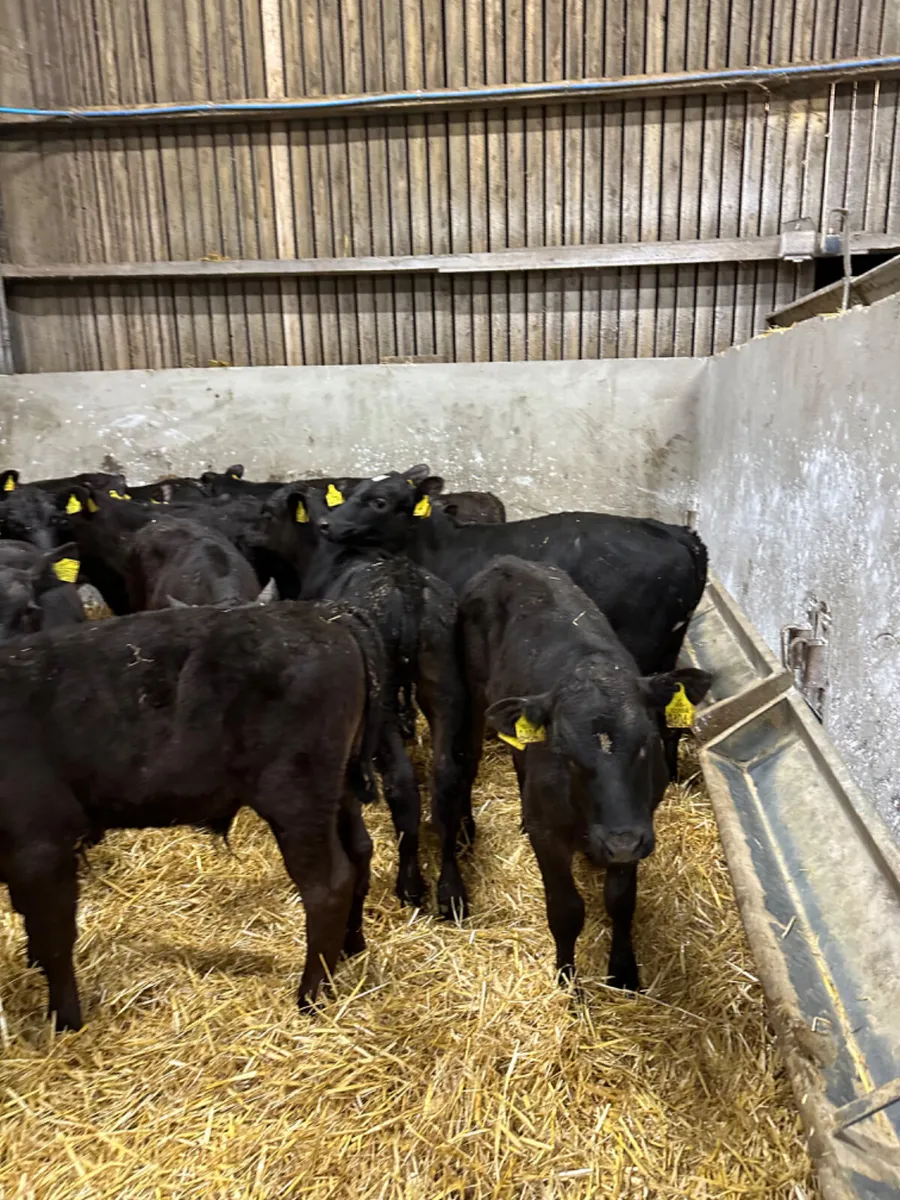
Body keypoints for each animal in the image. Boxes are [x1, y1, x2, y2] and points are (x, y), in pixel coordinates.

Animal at [0, 601, 384, 1030]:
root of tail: (323, 615)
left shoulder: (41, 844)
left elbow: (53, 936)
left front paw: (65, 1023)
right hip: (340, 790)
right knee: (360, 852)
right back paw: (350, 949)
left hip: (297, 798)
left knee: (328, 885)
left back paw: (310, 997)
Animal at [289, 485, 473, 913]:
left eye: (377, 502)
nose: (329, 524)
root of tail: (405, 584)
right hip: (445, 684)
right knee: (446, 779)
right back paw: (451, 891)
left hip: (384, 698)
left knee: (402, 785)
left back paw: (410, 885)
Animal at [320, 466, 707, 778]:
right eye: (352, 492)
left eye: (379, 502)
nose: (326, 524)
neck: (442, 546)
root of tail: (678, 533)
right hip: (668, 646)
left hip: (643, 646)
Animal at [458, 556, 712, 991]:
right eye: (566, 754)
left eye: (646, 741)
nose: (620, 843)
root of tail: (506, 562)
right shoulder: (548, 836)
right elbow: (565, 910)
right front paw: (566, 977)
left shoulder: (637, 825)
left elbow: (621, 901)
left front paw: (624, 971)